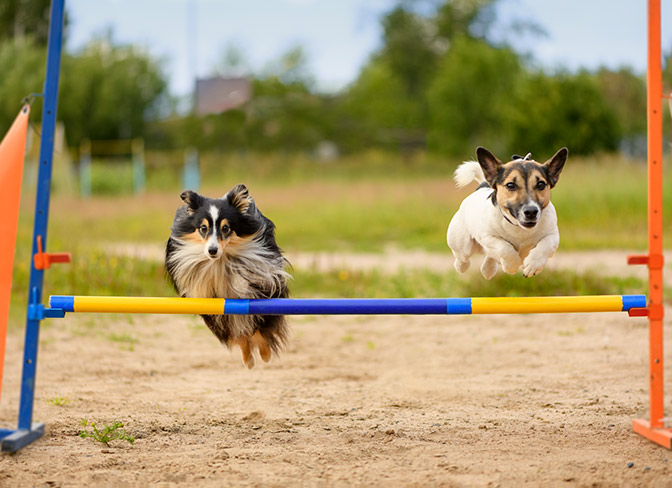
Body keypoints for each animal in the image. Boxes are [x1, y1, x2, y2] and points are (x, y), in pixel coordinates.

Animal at [166, 185, 292, 368]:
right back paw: (248, 360)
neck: (221, 260)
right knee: (240, 333)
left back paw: (264, 355)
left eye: (226, 228)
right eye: (203, 228)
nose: (212, 251)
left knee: (254, 329)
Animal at [446, 146, 568, 278]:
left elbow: (546, 245)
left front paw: (533, 265)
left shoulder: (553, 236)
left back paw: (488, 269)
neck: (519, 228)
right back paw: (462, 266)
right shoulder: (487, 237)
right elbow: (504, 247)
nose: (531, 211)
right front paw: (512, 265)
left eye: (541, 184)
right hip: (462, 245)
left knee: (489, 257)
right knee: (463, 258)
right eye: (510, 185)